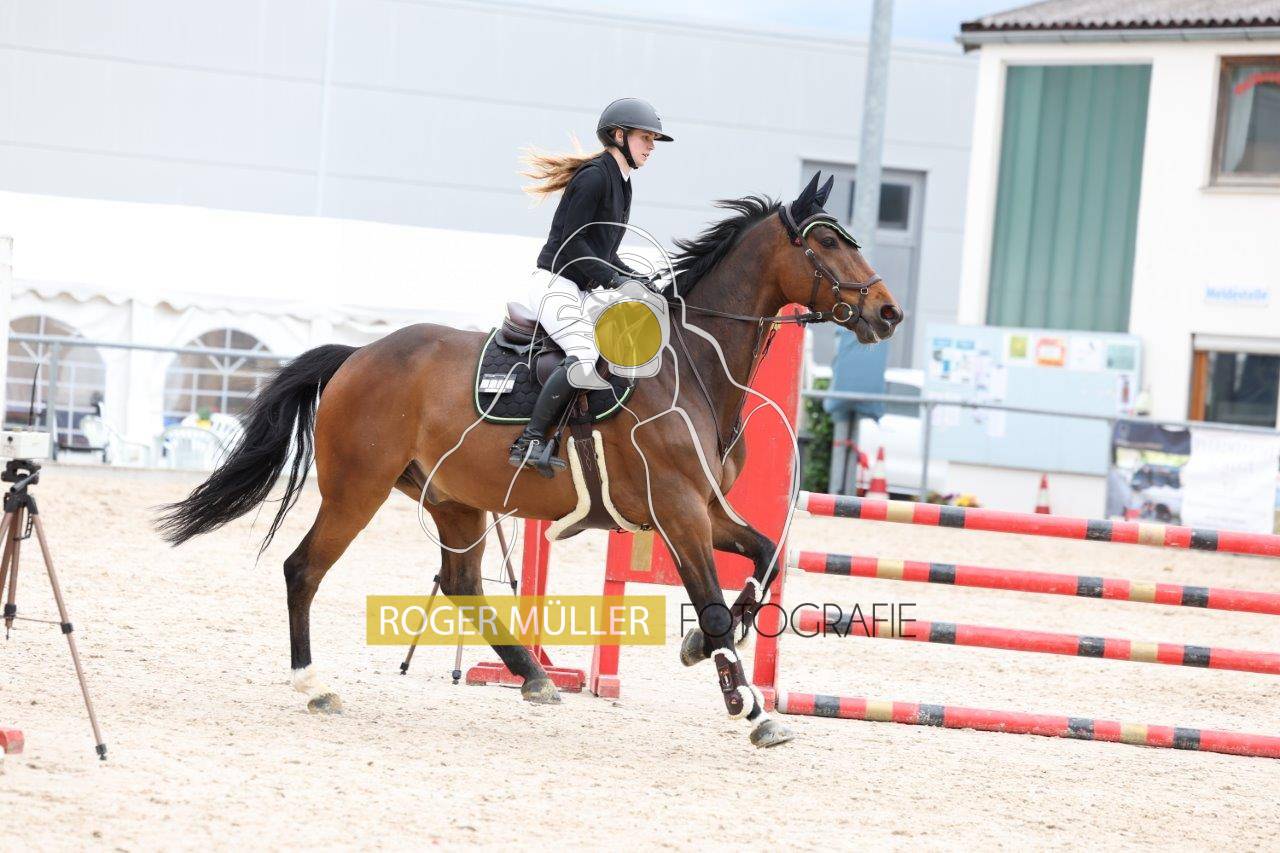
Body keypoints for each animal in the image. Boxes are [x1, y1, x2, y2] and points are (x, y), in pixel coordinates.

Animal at [157, 171, 902, 748]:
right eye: (828, 242)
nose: (889, 313)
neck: (692, 364)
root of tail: (357, 354)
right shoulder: (679, 509)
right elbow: (715, 604)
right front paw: (751, 709)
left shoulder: (702, 510)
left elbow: (765, 555)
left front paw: (703, 656)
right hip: (357, 491)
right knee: (304, 568)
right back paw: (314, 685)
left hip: (453, 501)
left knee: (461, 583)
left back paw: (536, 677)